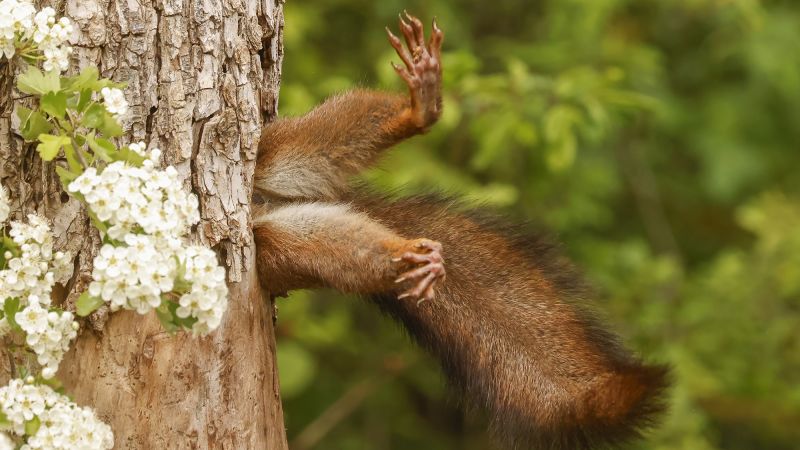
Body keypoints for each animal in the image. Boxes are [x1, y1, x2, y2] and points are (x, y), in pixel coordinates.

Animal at [252, 12, 669, 450]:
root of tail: (268, 204)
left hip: (276, 149)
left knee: (327, 134)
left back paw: (419, 108)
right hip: (280, 246)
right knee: (337, 250)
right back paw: (409, 259)